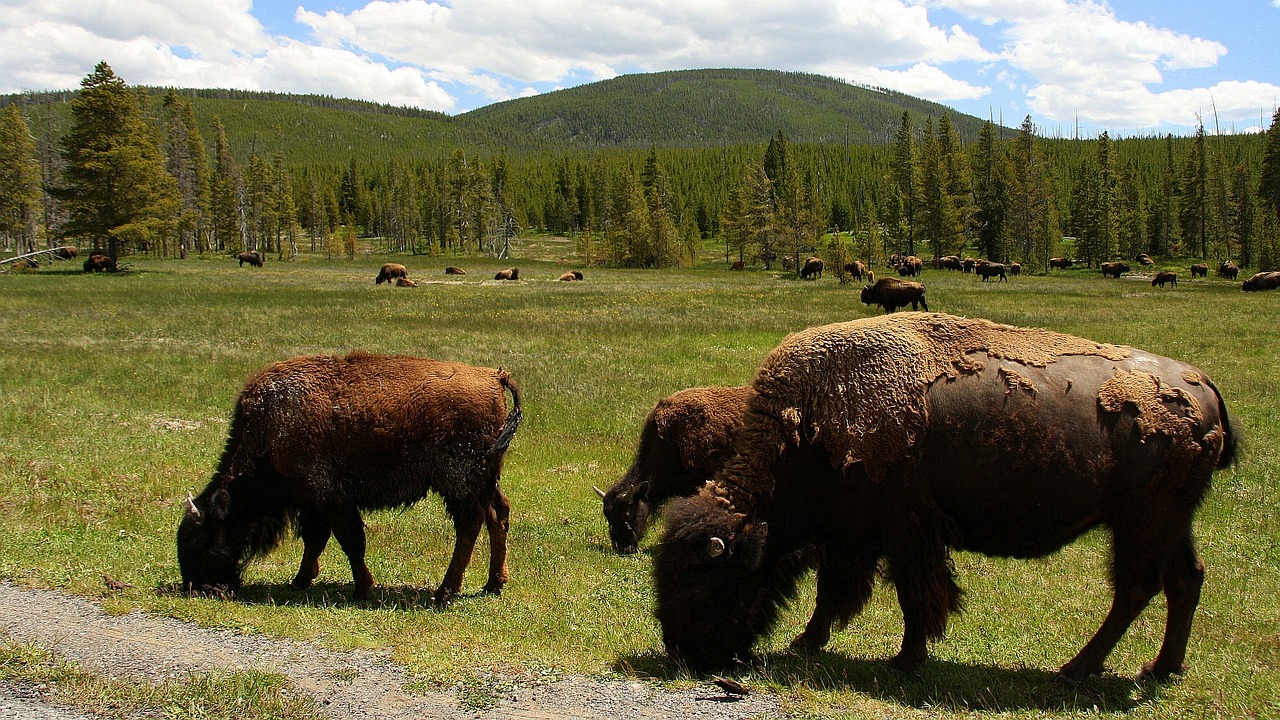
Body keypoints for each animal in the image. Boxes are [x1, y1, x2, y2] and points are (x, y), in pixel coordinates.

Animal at [177, 351, 522, 602]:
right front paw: (301, 580)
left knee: (470, 525)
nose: (196, 586)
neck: (268, 430)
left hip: (459, 482)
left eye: (198, 538)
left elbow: (349, 541)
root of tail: (494, 376)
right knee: (498, 514)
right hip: (485, 479)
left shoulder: (330, 498)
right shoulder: (315, 503)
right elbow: (316, 541)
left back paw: (445, 592)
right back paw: (493, 584)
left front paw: (362, 588)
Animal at [655, 310, 1233, 676]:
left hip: (1142, 524)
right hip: (1171, 524)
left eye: (698, 583)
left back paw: (1076, 669)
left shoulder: (906, 533)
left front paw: (905, 658)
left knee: (1136, 590)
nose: (682, 653)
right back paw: (1159, 669)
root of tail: (1204, 384)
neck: (808, 428)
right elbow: (834, 593)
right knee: (1185, 581)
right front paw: (807, 642)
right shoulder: (851, 538)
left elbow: (913, 595)